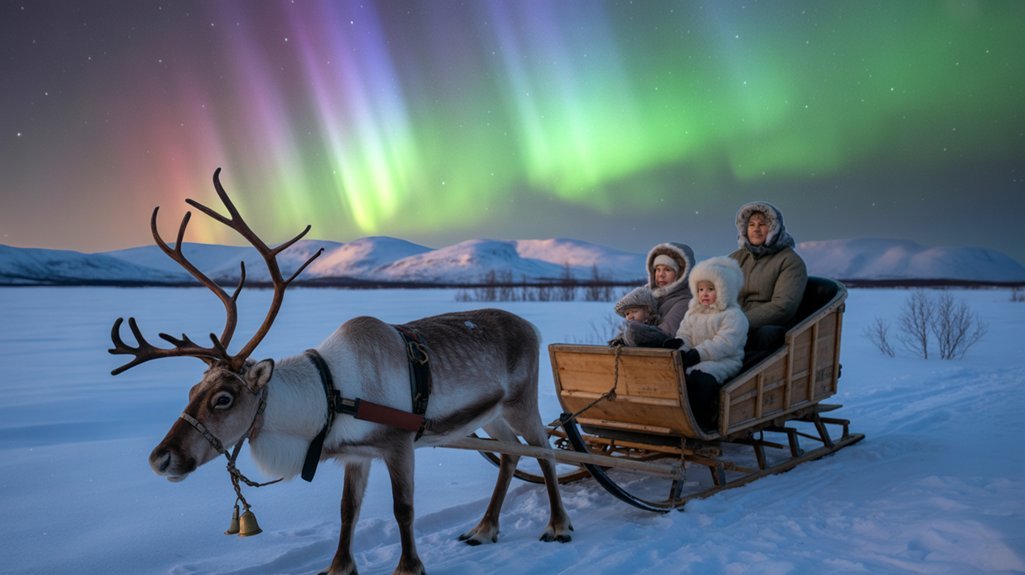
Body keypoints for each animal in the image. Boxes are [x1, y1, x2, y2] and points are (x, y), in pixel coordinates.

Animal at [109, 169, 573, 575]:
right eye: (191, 391)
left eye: (224, 398)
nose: (160, 458)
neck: (329, 395)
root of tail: (532, 326)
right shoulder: (356, 454)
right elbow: (348, 511)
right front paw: (338, 566)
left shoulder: (398, 445)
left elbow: (403, 509)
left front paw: (409, 567)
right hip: (490, 414)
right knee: (511, 455)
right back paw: (484, 528)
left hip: (520, 403)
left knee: (545, 450)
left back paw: (557, 525)